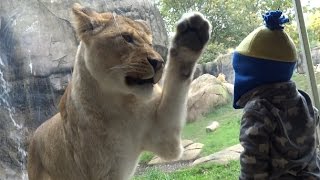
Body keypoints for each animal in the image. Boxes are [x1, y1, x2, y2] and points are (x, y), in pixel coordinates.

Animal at [27, 2, 211, 180]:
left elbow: (176, 86)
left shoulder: (165, 137)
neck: (121, 103)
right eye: (127, 38)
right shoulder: (103, 172)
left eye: (150, 44)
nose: (158, 63)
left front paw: (190, 36)